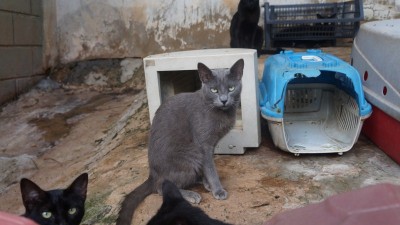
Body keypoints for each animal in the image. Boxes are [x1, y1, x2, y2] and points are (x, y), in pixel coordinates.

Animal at [116, 59, 244, 224]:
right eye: (214, 90)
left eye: (231, 88)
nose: (223, 100)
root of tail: (152, 175)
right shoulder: (203, 145)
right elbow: (210, 169)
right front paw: (217, 189)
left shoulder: (211, 145)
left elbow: (208, 167)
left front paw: (208, 183)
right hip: (190, 157)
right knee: (161, 187)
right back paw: (191, 194)